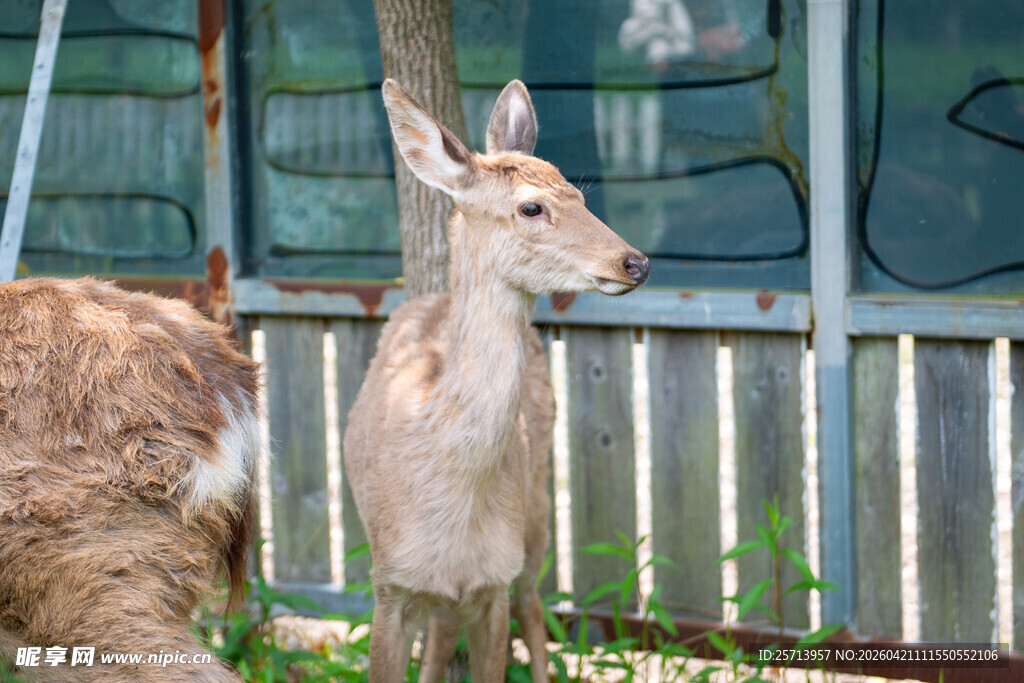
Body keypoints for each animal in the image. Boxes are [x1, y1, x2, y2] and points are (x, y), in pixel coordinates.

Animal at [343, 79, 650, 682]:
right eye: (531, 206)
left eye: (580, 196)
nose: (635, 262)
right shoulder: (388, 583)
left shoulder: (494, 582)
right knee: (443, 630)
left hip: (535, 515)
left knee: (532, 604)